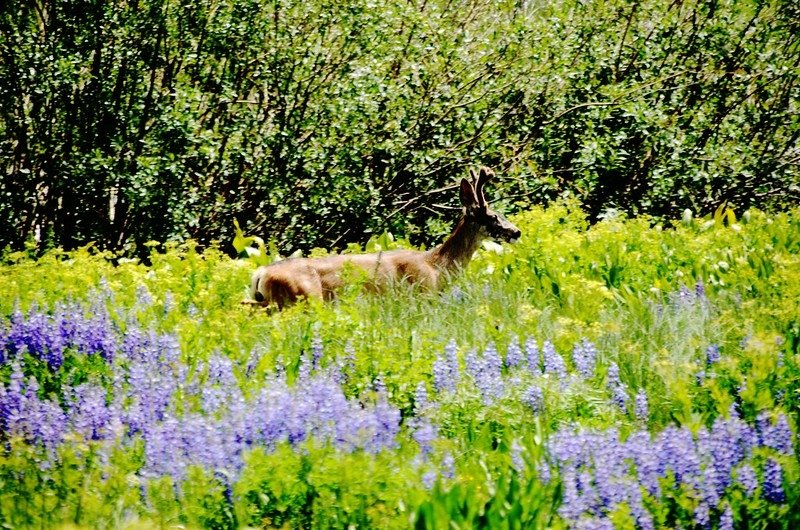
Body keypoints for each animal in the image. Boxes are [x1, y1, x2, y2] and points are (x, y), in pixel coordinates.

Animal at [245, 166, 520, 310]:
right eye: (493, 216)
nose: (516, 232)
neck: (436, 266)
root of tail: (261, 273)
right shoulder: (423, 293)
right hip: (303, 299)